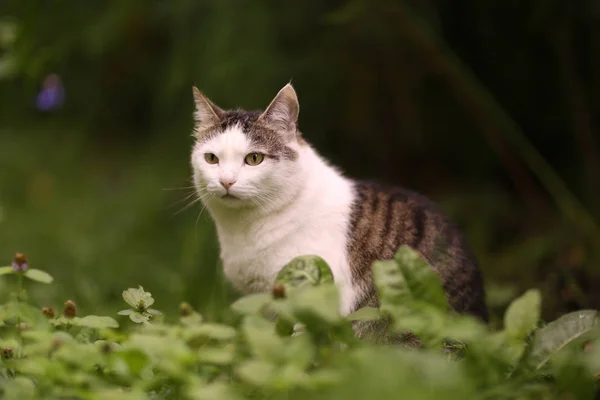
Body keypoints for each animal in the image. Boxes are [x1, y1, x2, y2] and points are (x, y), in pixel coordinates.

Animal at [190, 83, 490, 340]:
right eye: (212, 159)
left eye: (254, 158)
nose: (226, 181)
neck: (244, 229)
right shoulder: (262, 302)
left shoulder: (313, 296)